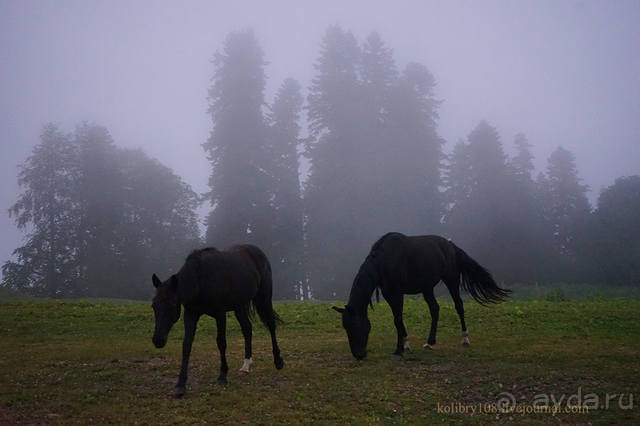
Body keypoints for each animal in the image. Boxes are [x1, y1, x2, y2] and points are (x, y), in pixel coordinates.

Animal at [151, 245, 284, 398]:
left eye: (172, 305)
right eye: (154, 305)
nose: (158, 340)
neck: (201, 279)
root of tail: (257, 251)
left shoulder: (220, 314)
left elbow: (221, 342)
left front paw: (222, 376)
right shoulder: (190, 314)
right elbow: (186, 345)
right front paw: (180, 385)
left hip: (264, 297)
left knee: (271, 325)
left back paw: (278, 361)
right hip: (239, 306)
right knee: (247, 329)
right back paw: (246, 365)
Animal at [336, 233, 510, 360]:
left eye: (355, 326)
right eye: (346, 327)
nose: (358, 355)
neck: (384, 261)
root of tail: (451, 246)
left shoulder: (397, 293)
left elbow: (398, 319)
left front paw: (399, 349)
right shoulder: (388, 295)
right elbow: (398, 320)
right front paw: (405, 345)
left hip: (451, 280)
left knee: (459, 306)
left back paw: (465, 339)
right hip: (427, 288)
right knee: (435, 309)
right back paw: (430, 342)